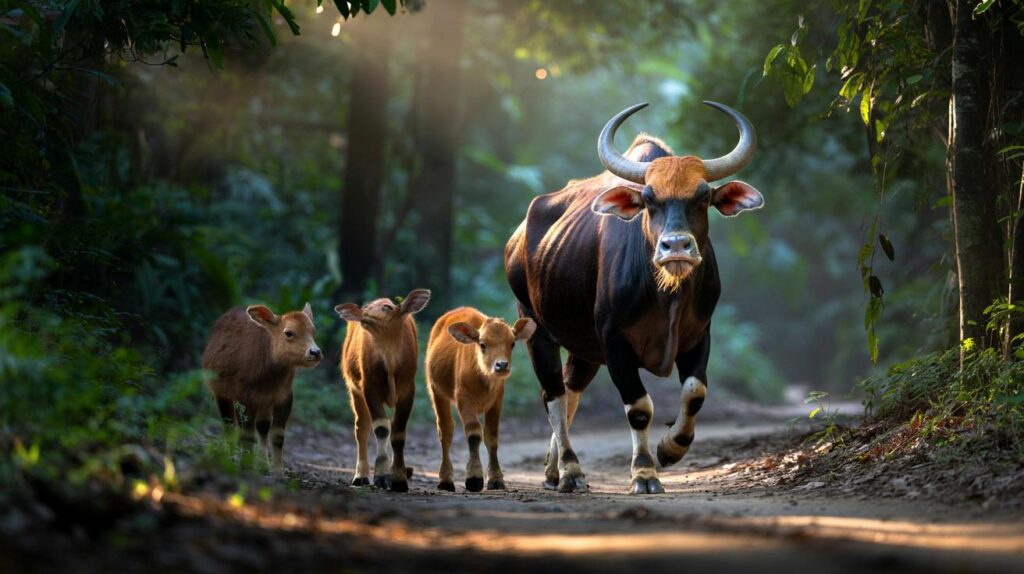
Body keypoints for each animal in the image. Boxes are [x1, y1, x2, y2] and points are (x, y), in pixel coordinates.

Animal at [203, 303, 323, 477]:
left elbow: (277, 436)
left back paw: (263, 465)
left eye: (313, 331)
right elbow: (246, 434)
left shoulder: (284, 397)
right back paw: (231, 458)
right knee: (229, 425)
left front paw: (278, 471)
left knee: (262, 427)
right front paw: (245, 466)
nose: (315, 352)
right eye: (289, 333)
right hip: (221, 393)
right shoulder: (244, 398)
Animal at [334, 289, 430, 492]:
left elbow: (398, 432)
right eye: (365, 307)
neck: (390, 358)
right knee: (361, 428)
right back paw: (360, 476)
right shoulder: (369, 388)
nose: (363, 316)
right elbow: (381, 428)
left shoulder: (408, 390)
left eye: (387, 307)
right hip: (353, 388)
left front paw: (399, 479)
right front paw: (382, 475)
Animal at [424, 307, 536, 492]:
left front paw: (496, 479)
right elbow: (474, 433)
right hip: (436, 391)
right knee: (445, 430)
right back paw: (446, 480)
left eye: (512, 343)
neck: (483, 379)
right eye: (482, 344)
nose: (502, 365)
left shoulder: (497, 401)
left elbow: (491, 436)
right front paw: (474, 478)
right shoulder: (464, 400)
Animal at [505, 101, 762, 494]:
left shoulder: (699, 335)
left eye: (703, 197)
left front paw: (670, 447)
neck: (665, 294)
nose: (676, 246)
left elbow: (695, 392)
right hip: (536, 327)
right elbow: (639, 407)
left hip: (584, 347)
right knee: (553, 396)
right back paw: (570, 470)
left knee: (570, 391)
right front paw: (644, 472)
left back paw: (552, 470)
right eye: (649, 199)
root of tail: (518, 237)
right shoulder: (615, 343)